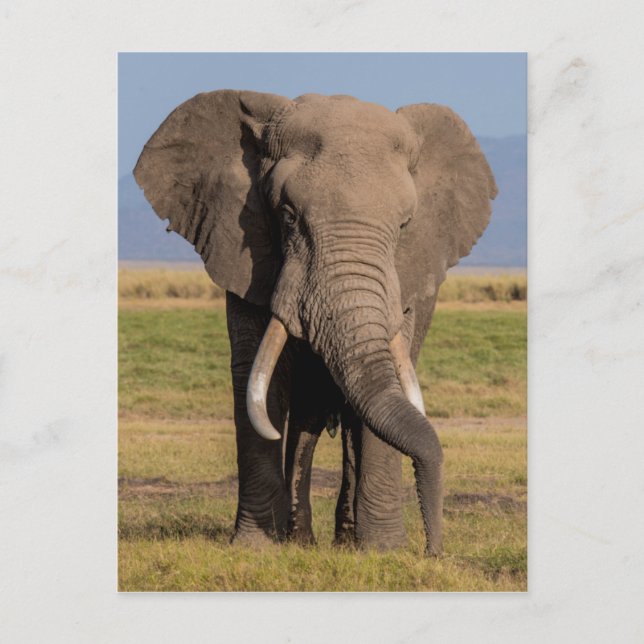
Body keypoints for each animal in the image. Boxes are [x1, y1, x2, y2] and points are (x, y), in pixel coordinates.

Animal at [133, 90, 497, 555]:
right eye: (288, 216)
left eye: (404, 225)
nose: (434, 551)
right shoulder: (245, 253)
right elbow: (258, 380)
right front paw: (256, 548)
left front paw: (384, 551)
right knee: (304, 418)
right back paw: (303, 540)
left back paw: (344, 541)